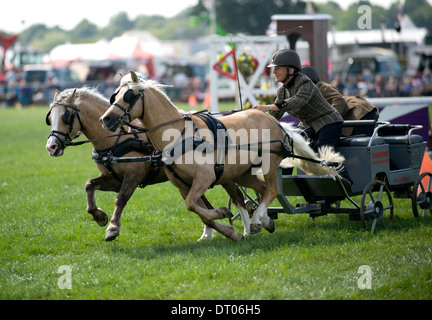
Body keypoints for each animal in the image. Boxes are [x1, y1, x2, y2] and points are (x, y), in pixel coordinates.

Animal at [44, 87, 250, 240]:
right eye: (50, 117)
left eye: (66, 117)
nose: (51, 147)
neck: (117, 138)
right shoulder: (113, 179)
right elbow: (89, 186)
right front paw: (99, 216)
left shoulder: (133, 176)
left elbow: (120, 199)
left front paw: (112, 228)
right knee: (204, 203)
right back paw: (209, 232)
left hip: (223, 174)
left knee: (237, 196)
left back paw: (249, 228)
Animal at [98, 71, 344, 241]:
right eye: (114, 96)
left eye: (128, 95)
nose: (105, 119)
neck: (179, 135)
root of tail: (274, 121)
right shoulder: (182, 185)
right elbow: (198, 209)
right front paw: (229, 230)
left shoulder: (204, 177)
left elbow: (194, 205)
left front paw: (223, 216)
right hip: (242, 173)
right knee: (261, 190)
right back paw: (261, 222)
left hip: (269, 164)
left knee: (272, 190)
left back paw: (256, 221)